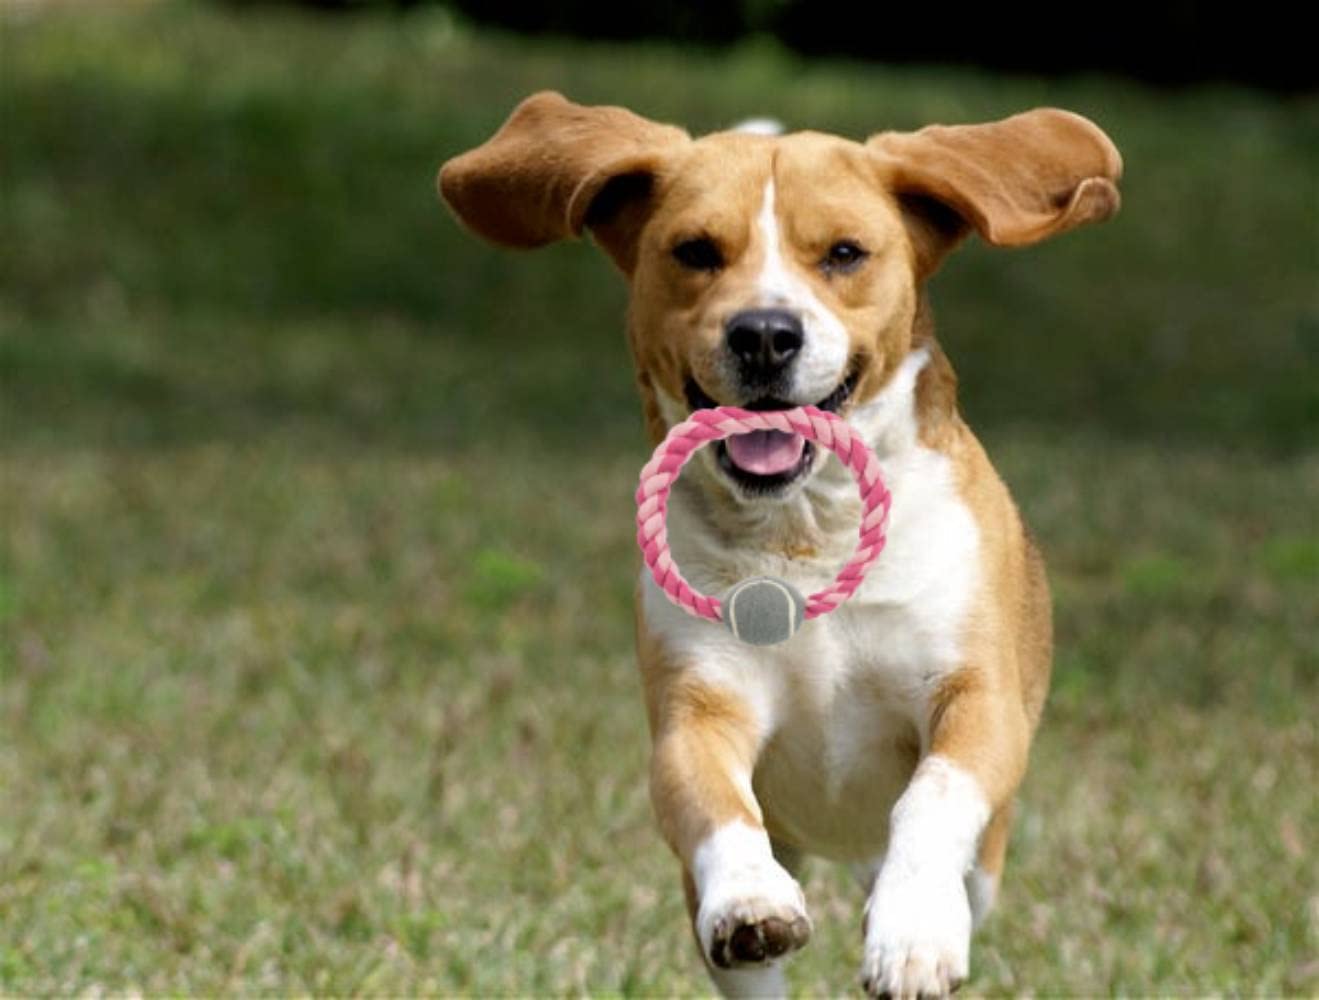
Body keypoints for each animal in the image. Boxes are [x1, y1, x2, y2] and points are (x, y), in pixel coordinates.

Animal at [437, 90, 1118, 997]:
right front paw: (749, 901)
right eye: (694, 251)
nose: (763, 333)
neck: (803, 536)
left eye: (843, 253)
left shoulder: (975, 697)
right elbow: (713, 803)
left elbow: (932, 795)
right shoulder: (697, 707)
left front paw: (912, 930)